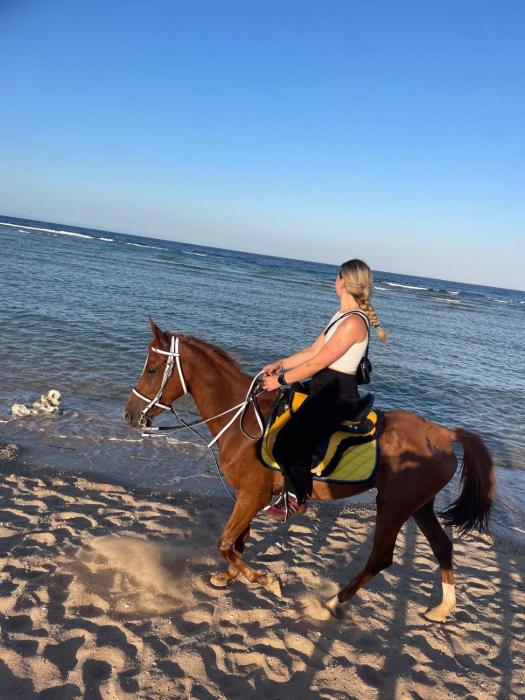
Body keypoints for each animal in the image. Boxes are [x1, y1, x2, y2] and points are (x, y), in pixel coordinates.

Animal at [123, 320, 496, 621]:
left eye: (153, 369)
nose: (129, 414)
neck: (245, 421)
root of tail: (444, 433)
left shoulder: (252, 495)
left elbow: (227, 542)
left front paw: (264, 580)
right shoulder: (248, 496)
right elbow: (238, 541)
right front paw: (228, 577)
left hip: (393, 505)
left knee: (381, 557)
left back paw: (334, 601)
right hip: (419, 506)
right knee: (442, 547)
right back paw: (443, 608)